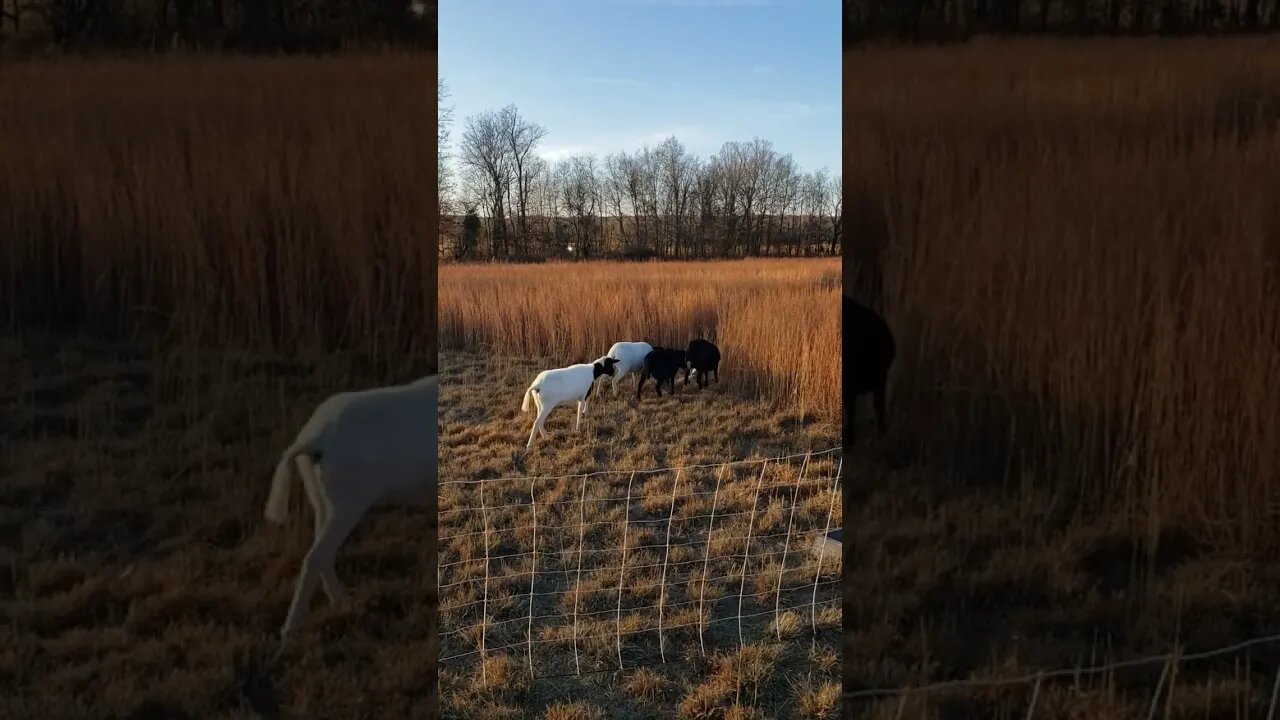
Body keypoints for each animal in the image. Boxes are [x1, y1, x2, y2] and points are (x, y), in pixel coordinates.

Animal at [262, 371, 437, 640]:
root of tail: (314, 438)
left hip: (320, 498)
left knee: (321, 551)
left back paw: (342, 603)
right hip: (347, 502)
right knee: (315, 556)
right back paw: (291, 629)